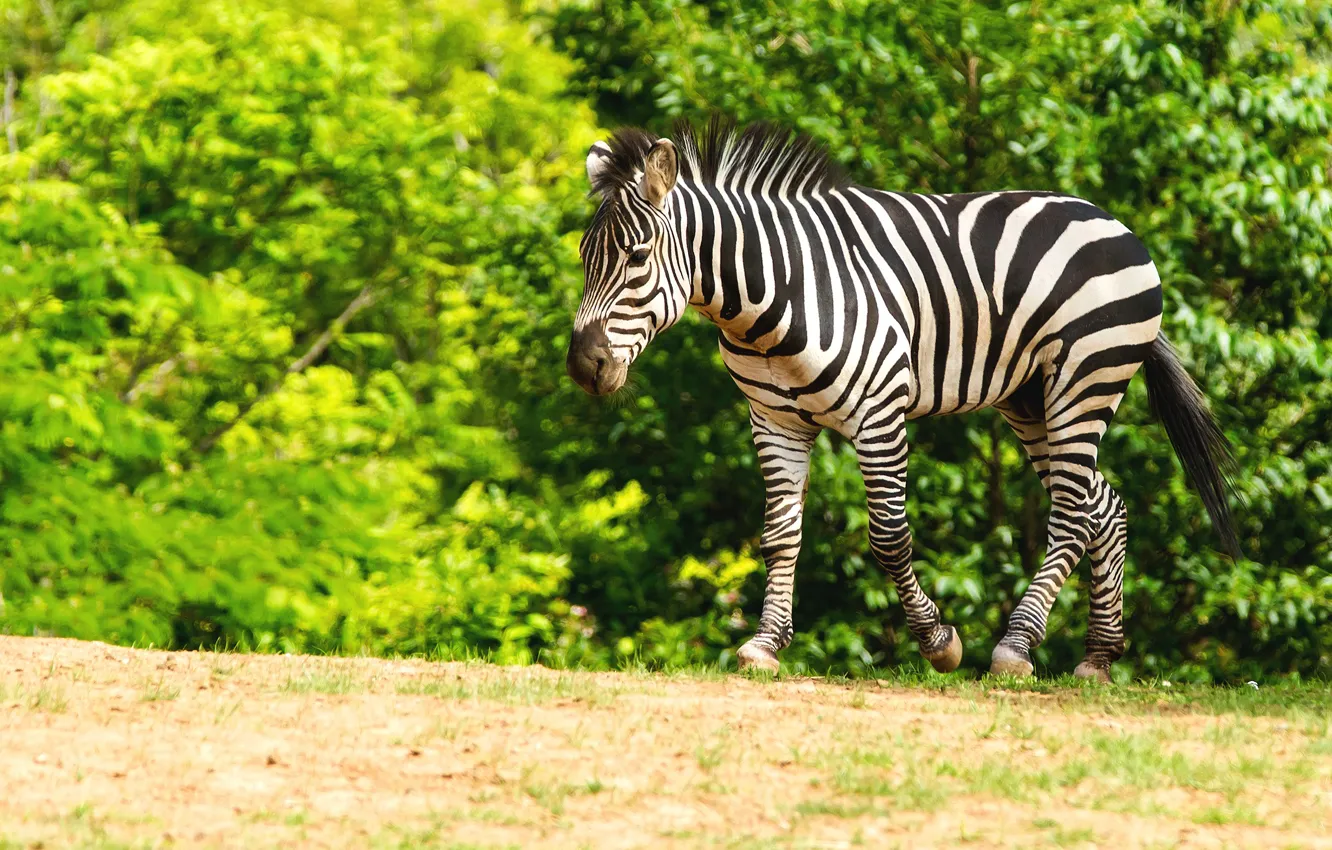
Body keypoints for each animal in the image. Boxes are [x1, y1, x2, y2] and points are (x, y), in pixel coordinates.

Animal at [565, 118, 1239, 680]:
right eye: (583, 257)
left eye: (637, 256)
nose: (582, 366)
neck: (775, 296)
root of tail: (1108, 219)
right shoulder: (774, 419)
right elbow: (780, 534)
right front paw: (765, 643)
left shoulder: (879, 411)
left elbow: (889, 537)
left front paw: (939, 642)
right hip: (1031, 399)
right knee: (1104, 506)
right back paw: (1098, 656)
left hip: (1085, 377)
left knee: (1073, 513)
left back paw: (1015, 648)